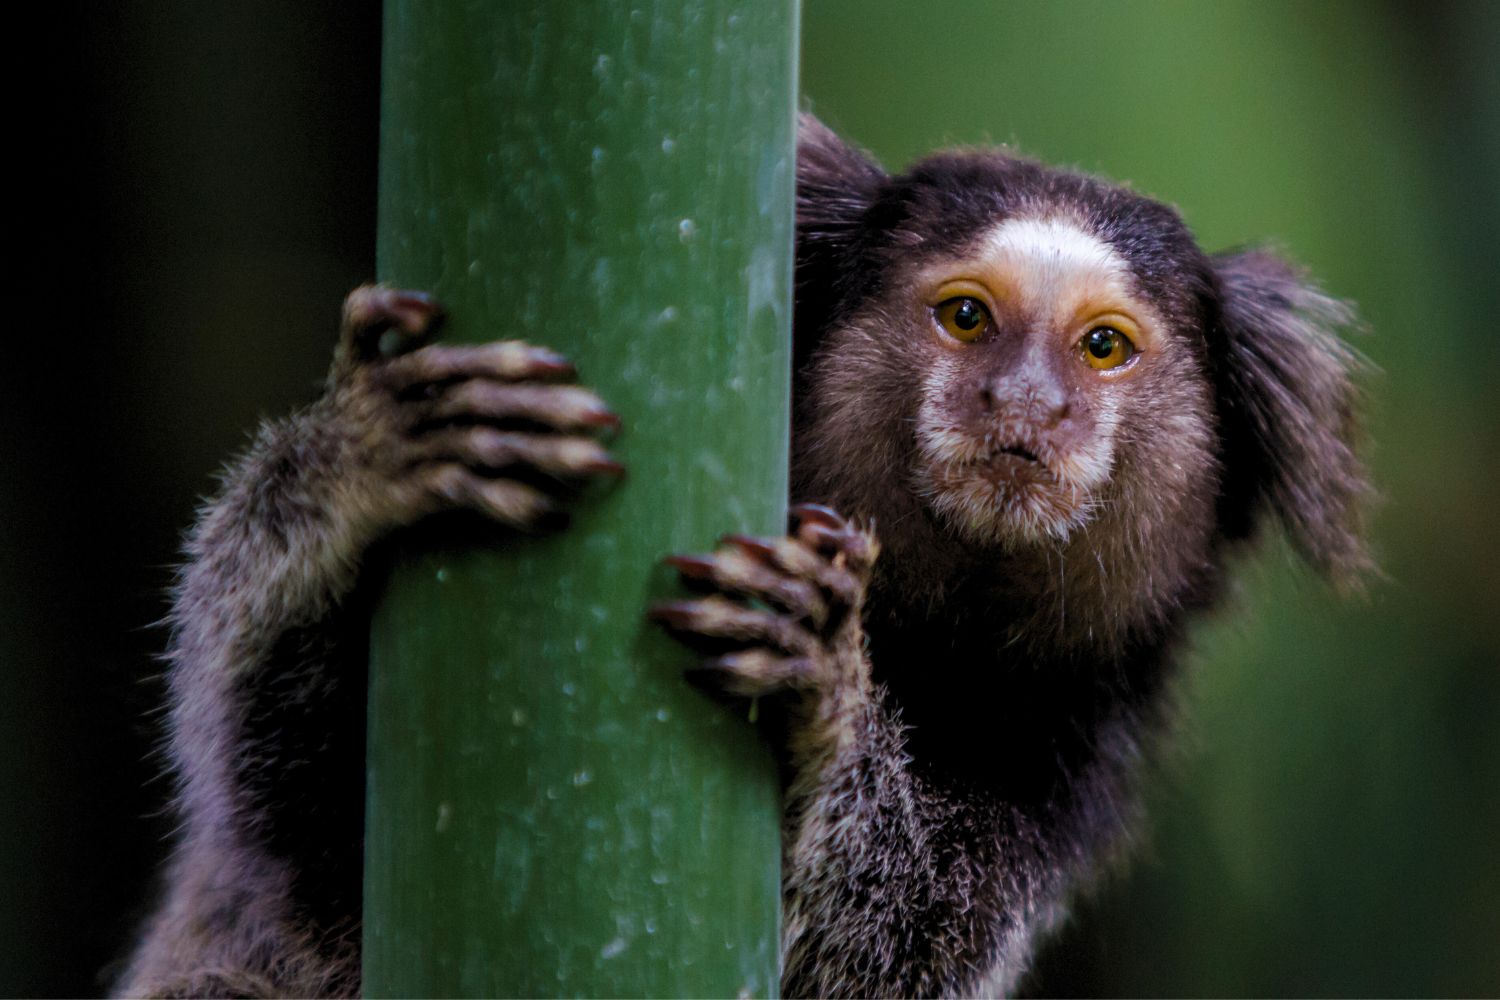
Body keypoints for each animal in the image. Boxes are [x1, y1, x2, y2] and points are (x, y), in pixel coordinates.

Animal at [118, 115, 1369, 998]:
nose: (1026, 403)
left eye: (1103, 347)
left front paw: (820, 688)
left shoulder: (1070, 757)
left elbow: (875, 960)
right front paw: (358, 460)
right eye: (967, 318)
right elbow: (287, 811)